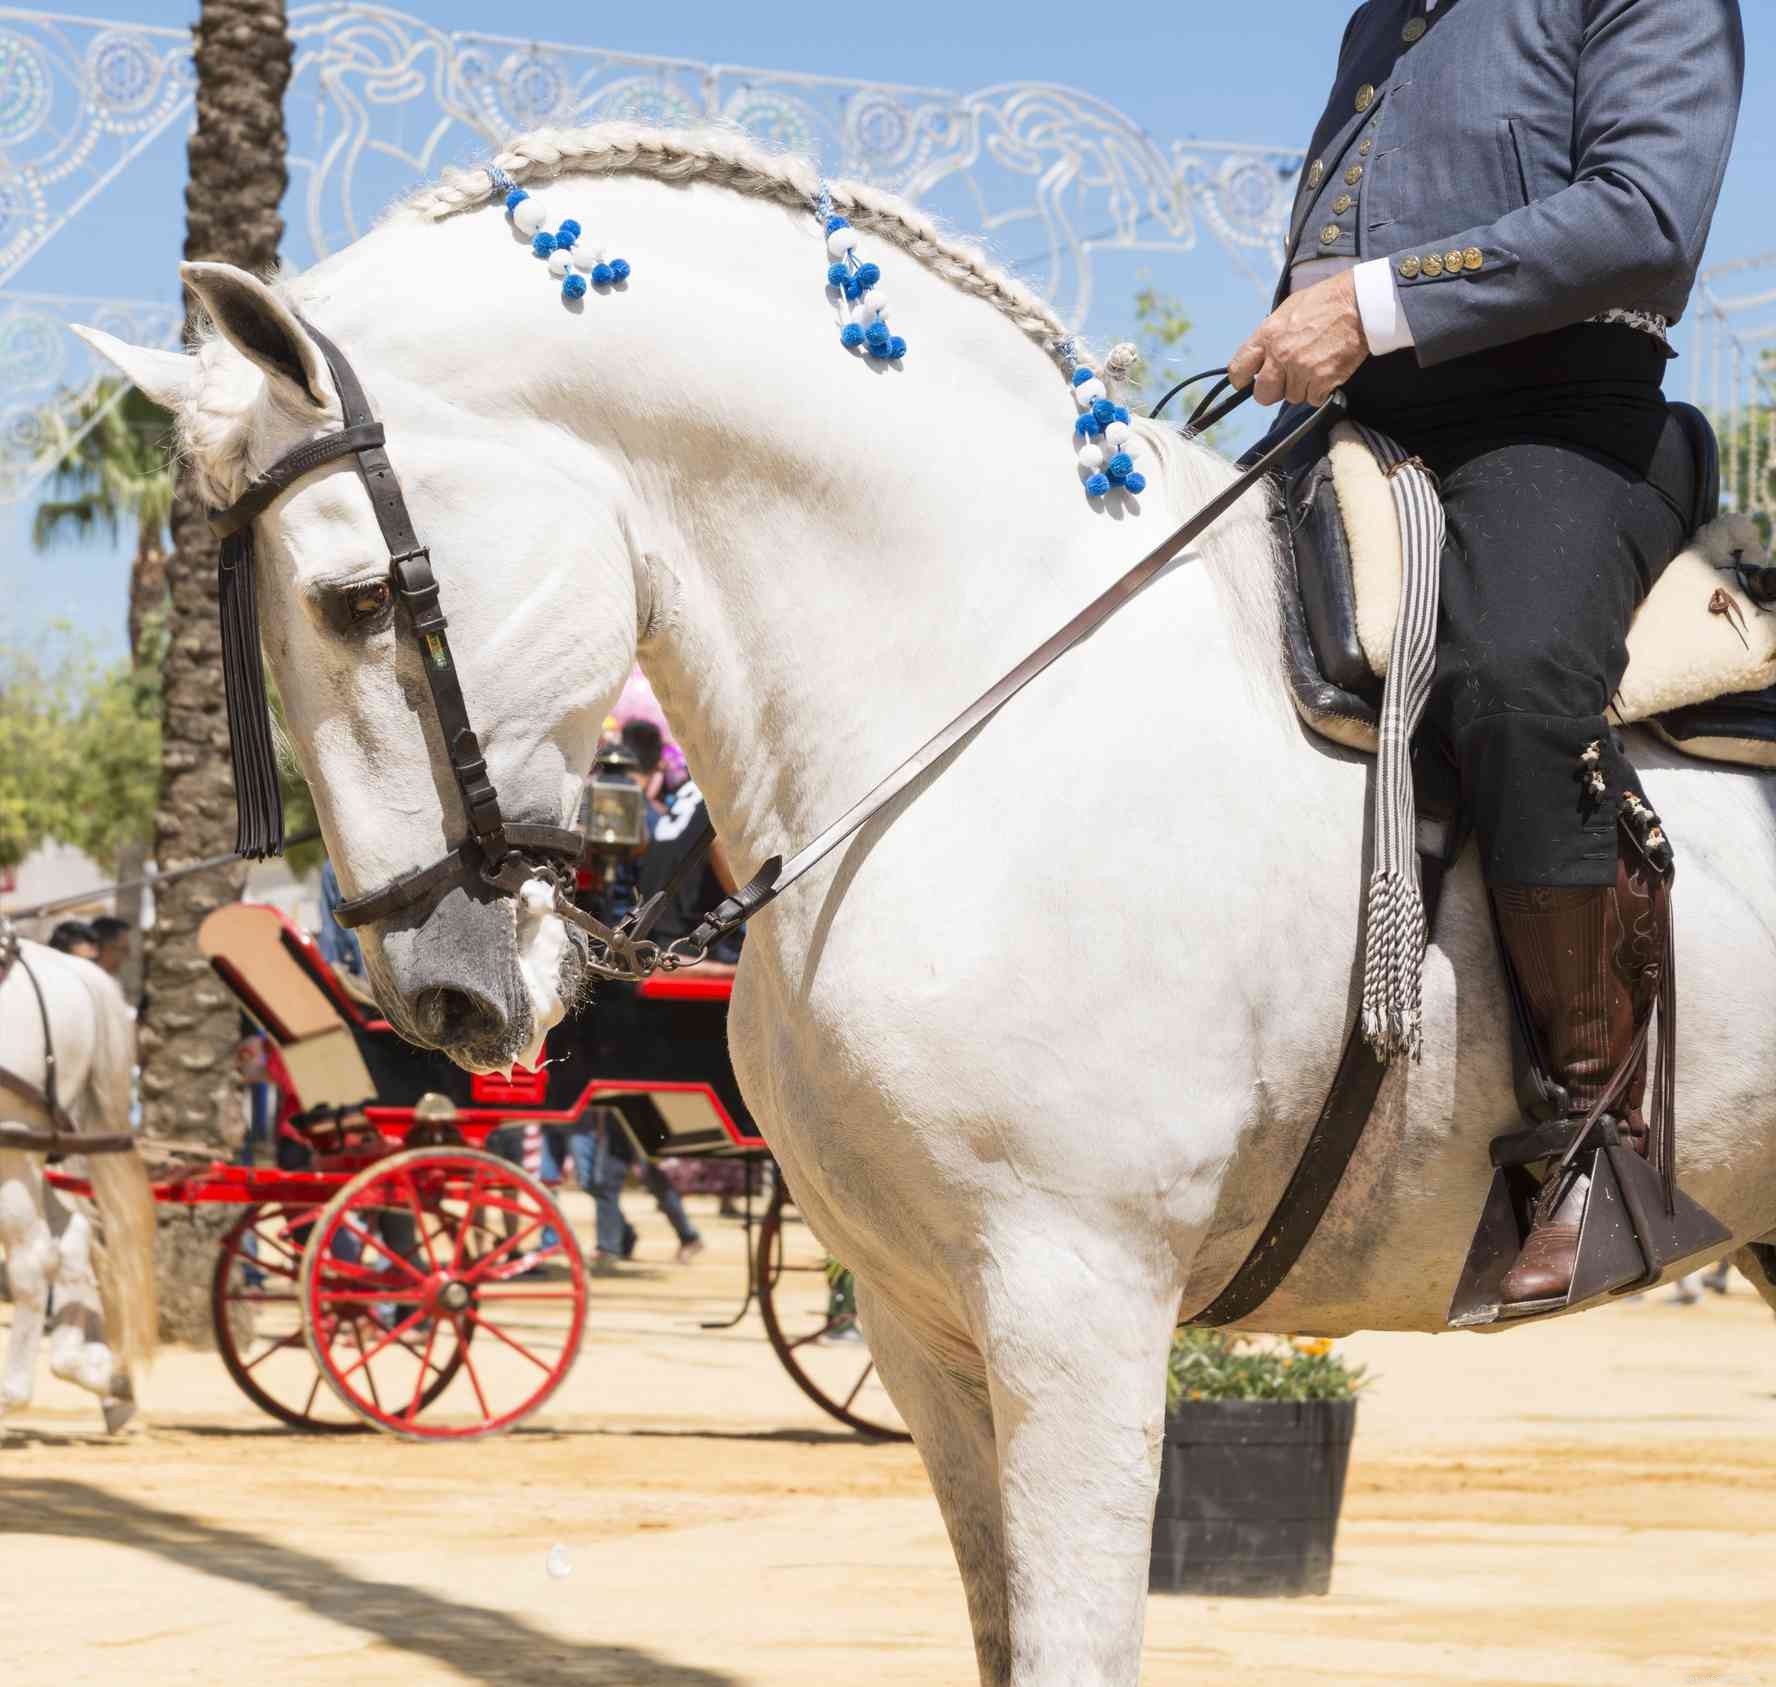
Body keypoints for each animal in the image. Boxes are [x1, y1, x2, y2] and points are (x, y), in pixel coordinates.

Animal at [0, 933, 156, 1432]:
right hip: (34, 1149)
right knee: (72, 1238)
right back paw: (99, 1376)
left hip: (15, 1146)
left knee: (35, 1260)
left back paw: (12, 1395)